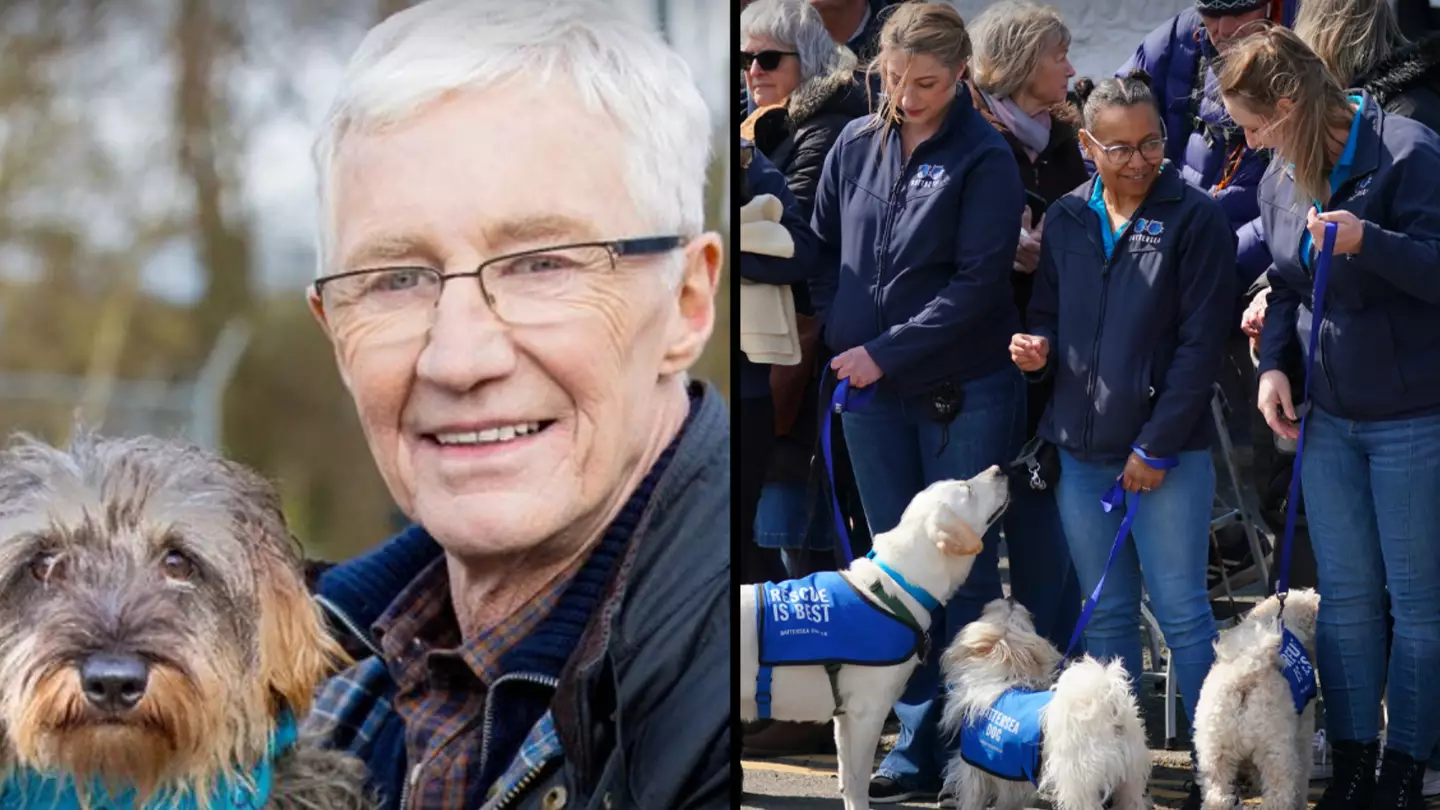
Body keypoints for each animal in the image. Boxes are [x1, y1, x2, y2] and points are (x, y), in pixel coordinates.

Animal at [938, 596, 1152, 807]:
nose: (1011, 597)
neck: (1005, 678)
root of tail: (1109, 710)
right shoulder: (1012, 774)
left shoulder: (975, 768)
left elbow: (973, 798)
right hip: (1130, 781)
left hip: (1078, 781)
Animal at [1186, 585, 1319, 807]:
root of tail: (1243, 678)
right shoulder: (1303, 734)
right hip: (1276, 753)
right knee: (1278, 797)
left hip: (1214, 755)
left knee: (1217, 798)